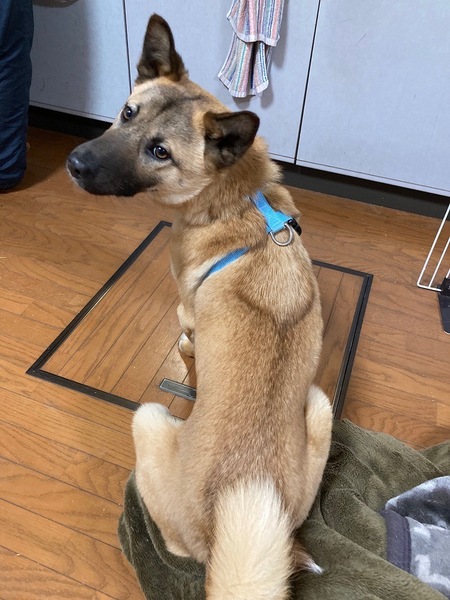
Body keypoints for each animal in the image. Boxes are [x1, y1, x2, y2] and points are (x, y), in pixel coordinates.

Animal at [67, 14, 332, 599]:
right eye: (127, 113)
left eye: (160, 152)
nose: (73, 163)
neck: (233, 197)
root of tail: (220, 533)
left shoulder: (186, 310)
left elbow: (186, 335)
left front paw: (190, 360)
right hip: (321, 406)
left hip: (148, 418)